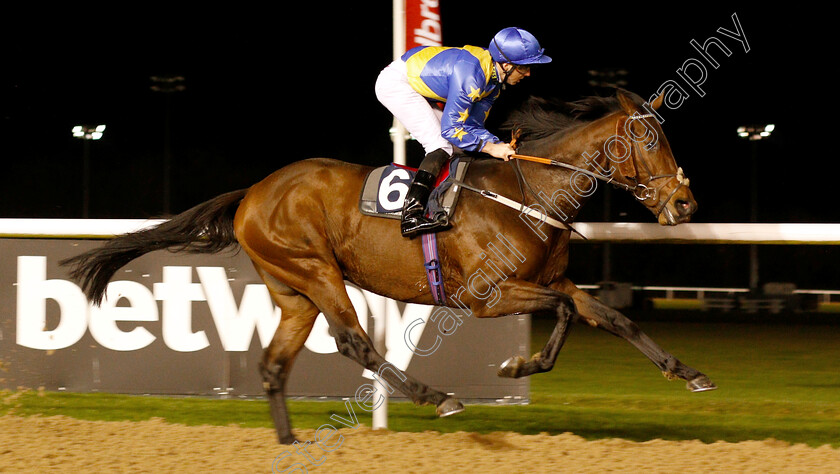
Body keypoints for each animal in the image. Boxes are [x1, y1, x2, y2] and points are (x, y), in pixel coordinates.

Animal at [60, 89, 716, 444]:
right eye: (650, 141)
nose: (686, 204)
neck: (529, 193)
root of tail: (252, 192)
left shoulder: (553, 279)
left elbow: (612, 316)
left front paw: (688, 372)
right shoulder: (488, 294)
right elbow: (562, 317)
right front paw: (517, 364)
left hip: (292, 290)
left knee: (274, 364)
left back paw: (289, 438)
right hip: (317, 270)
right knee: (355, 342)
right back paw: (436, 396)